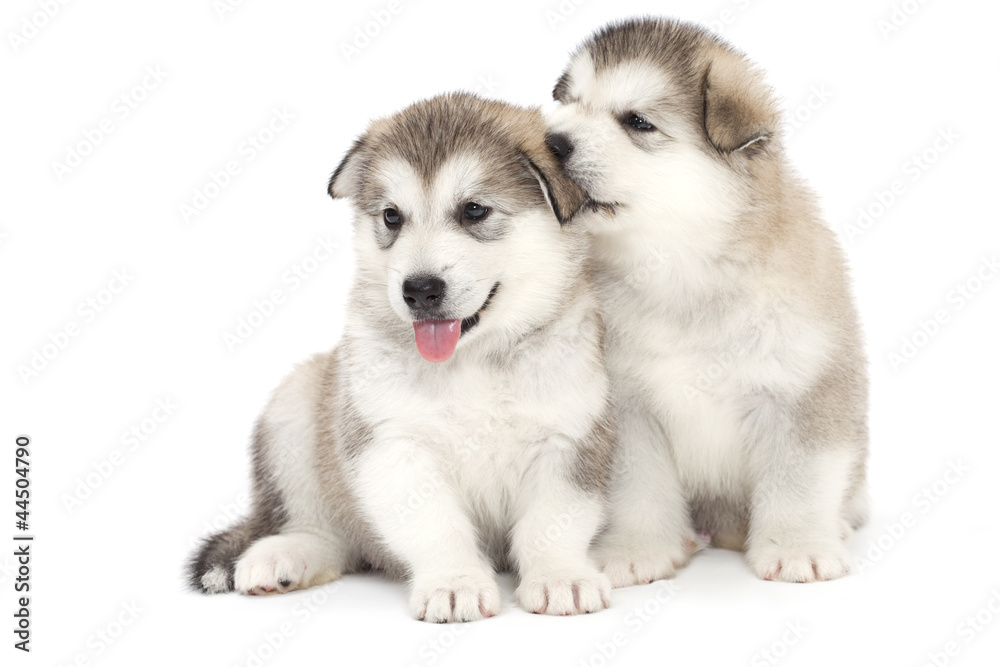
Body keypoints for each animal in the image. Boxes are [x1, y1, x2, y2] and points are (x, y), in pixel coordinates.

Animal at [188, 92, 616, 620]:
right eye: (392, 217)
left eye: (474, 210)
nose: (420, 290)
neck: (472, 360)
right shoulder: (394, 445)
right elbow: (437, 527)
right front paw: (454, 581)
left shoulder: (568, 438)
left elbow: (553, 522)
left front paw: (561, 576)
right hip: (295, 407)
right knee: (323, 531)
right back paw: (283, 555)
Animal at [548, 18, 868, 584]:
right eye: (570, 103)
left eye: (637, 122)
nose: (552, 140)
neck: (677, 268)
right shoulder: (629, 410)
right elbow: (637, 491)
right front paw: (637, 550)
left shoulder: (802, 392)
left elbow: (799, 481)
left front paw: (798, 547)